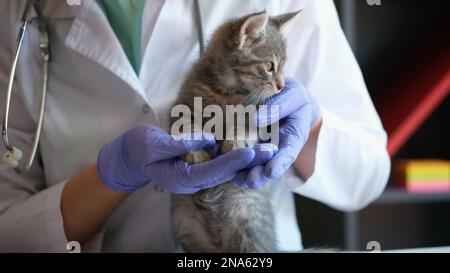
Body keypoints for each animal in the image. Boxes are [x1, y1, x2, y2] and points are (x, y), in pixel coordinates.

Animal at [169, 10, 298, 253]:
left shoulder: (257, 114)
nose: (281, 86)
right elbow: (187, 126)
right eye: (270, 66)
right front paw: (196, 151)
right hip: (185, 225)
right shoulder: (182, 106)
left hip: (246, 220)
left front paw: (237, 141)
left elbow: (245, 125)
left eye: (283, 67)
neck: (225, 92)